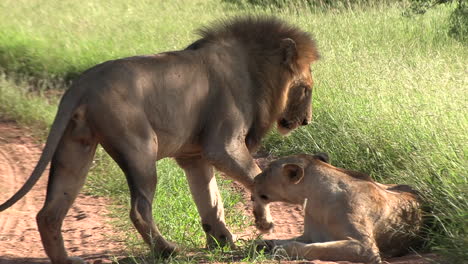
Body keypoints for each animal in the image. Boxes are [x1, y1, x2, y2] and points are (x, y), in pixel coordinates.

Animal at [0, 17, 318, 264]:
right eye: (306, 89)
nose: (306, 121)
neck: (256, 71)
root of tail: (82, 85)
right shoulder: (222, 146)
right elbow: (255, 177)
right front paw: (264, 223)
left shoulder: (195, 157)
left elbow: (211, 200)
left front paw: (222, 240)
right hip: (139, 146)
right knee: (139, 209)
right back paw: (167, 250)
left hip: (75, 148)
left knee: (49, 212)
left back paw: (66, 258)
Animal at [254, 154, 422, 262]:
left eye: (267, 170)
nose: (254, 178)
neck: (314, 201)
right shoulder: (308, 236)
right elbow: (279, 240)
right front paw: (263, 244)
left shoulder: (366, 248)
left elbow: (316, 248)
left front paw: (280, 250)